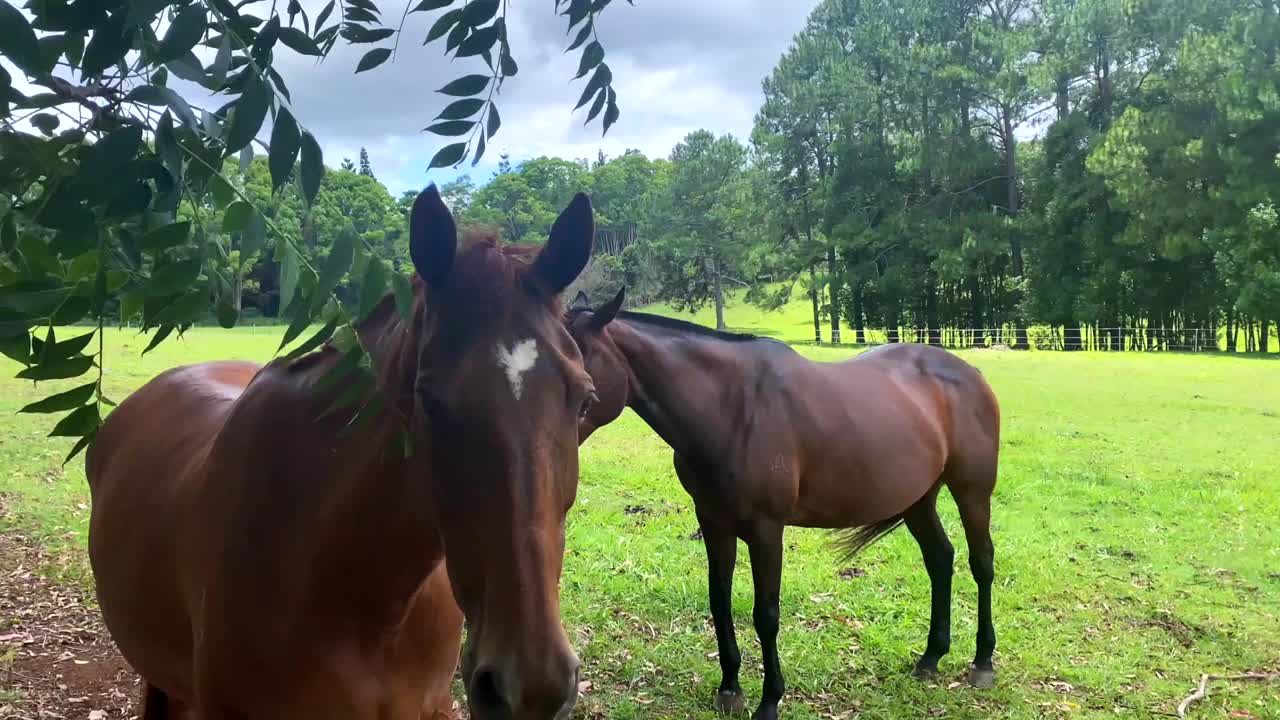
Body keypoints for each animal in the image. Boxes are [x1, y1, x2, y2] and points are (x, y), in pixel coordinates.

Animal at [568, 285, 998, 717]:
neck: (730, 410)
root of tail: (972, 374)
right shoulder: (713, 522)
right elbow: (719, 601)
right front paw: (730, 689)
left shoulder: (766, 529)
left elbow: (766, 615)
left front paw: (770, 699)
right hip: (918, 499)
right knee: (940, 559)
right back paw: (931, 657)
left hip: (972, 491)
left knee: (981, 563)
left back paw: (982, 662)